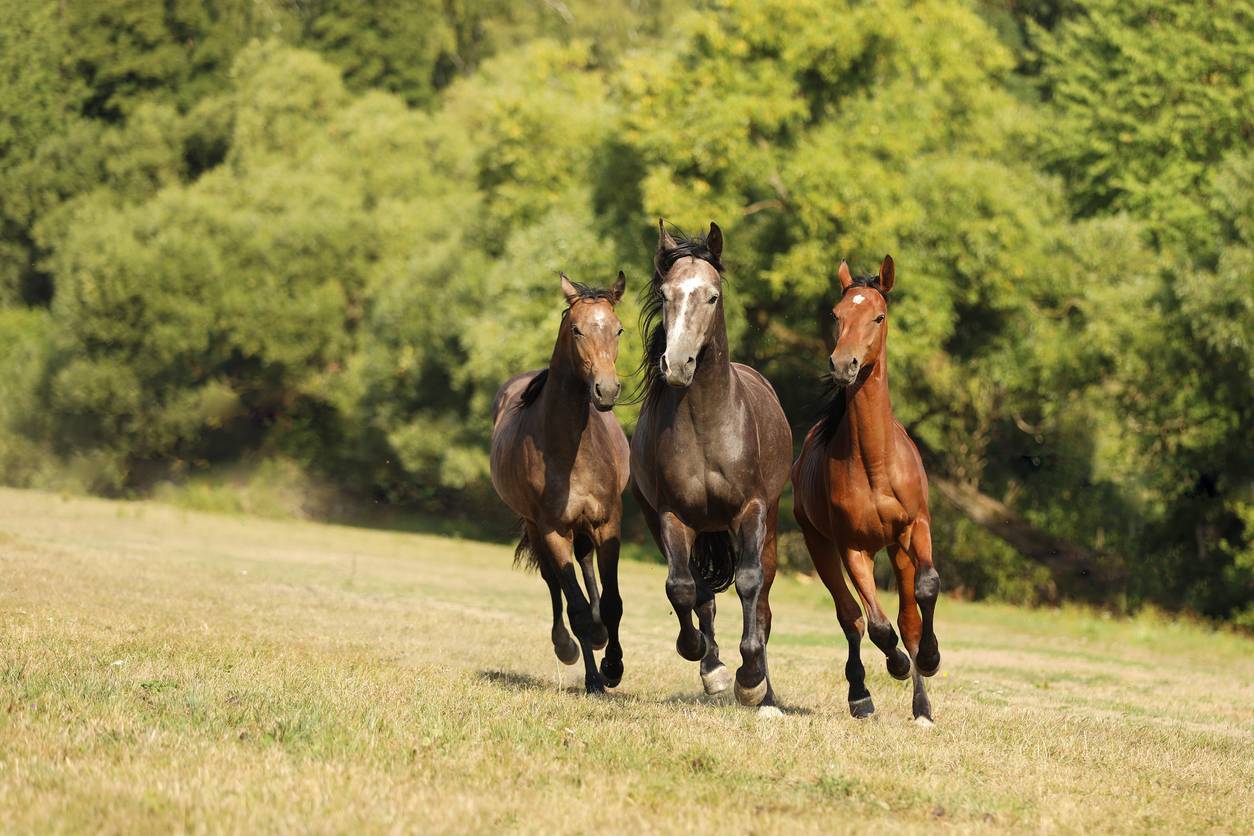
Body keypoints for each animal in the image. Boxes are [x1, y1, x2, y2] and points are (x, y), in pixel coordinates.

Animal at [486, 273, 627, 691]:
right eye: (577, 329)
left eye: (618, 329)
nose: (606, 390)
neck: (570, 450)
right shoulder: (552, 529)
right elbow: (574, 604)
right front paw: (596, 679)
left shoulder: (608, 522)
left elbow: (612, 602)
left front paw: (613, 666)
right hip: (537, 528)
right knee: (554, 582)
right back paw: (568, 645)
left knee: (586, 564)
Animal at [627, 219, 792, 716]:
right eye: (665, 294)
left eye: (713, 296)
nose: (677, 364)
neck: (706, 425)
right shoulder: (671, 516)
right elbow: (683, 588)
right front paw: (709, 664)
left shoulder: (751, 511)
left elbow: (750, 585)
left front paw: (751, 681)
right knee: (701, 594)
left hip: (768, 525)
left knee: (762, 603)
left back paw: (765, 696)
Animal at [792, 256, 943, 726]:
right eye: (836, 315)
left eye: (878, 316)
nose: (844, 364)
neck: (875, 463)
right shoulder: (851, 547)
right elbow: (875, 625)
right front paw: (896, 665)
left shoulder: (915, 527)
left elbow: (926, 590)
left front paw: (929, 659)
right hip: (820, 546)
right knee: (851, 618)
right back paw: (860, 695)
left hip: (895, 548)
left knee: (907, 617)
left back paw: (921, 704)